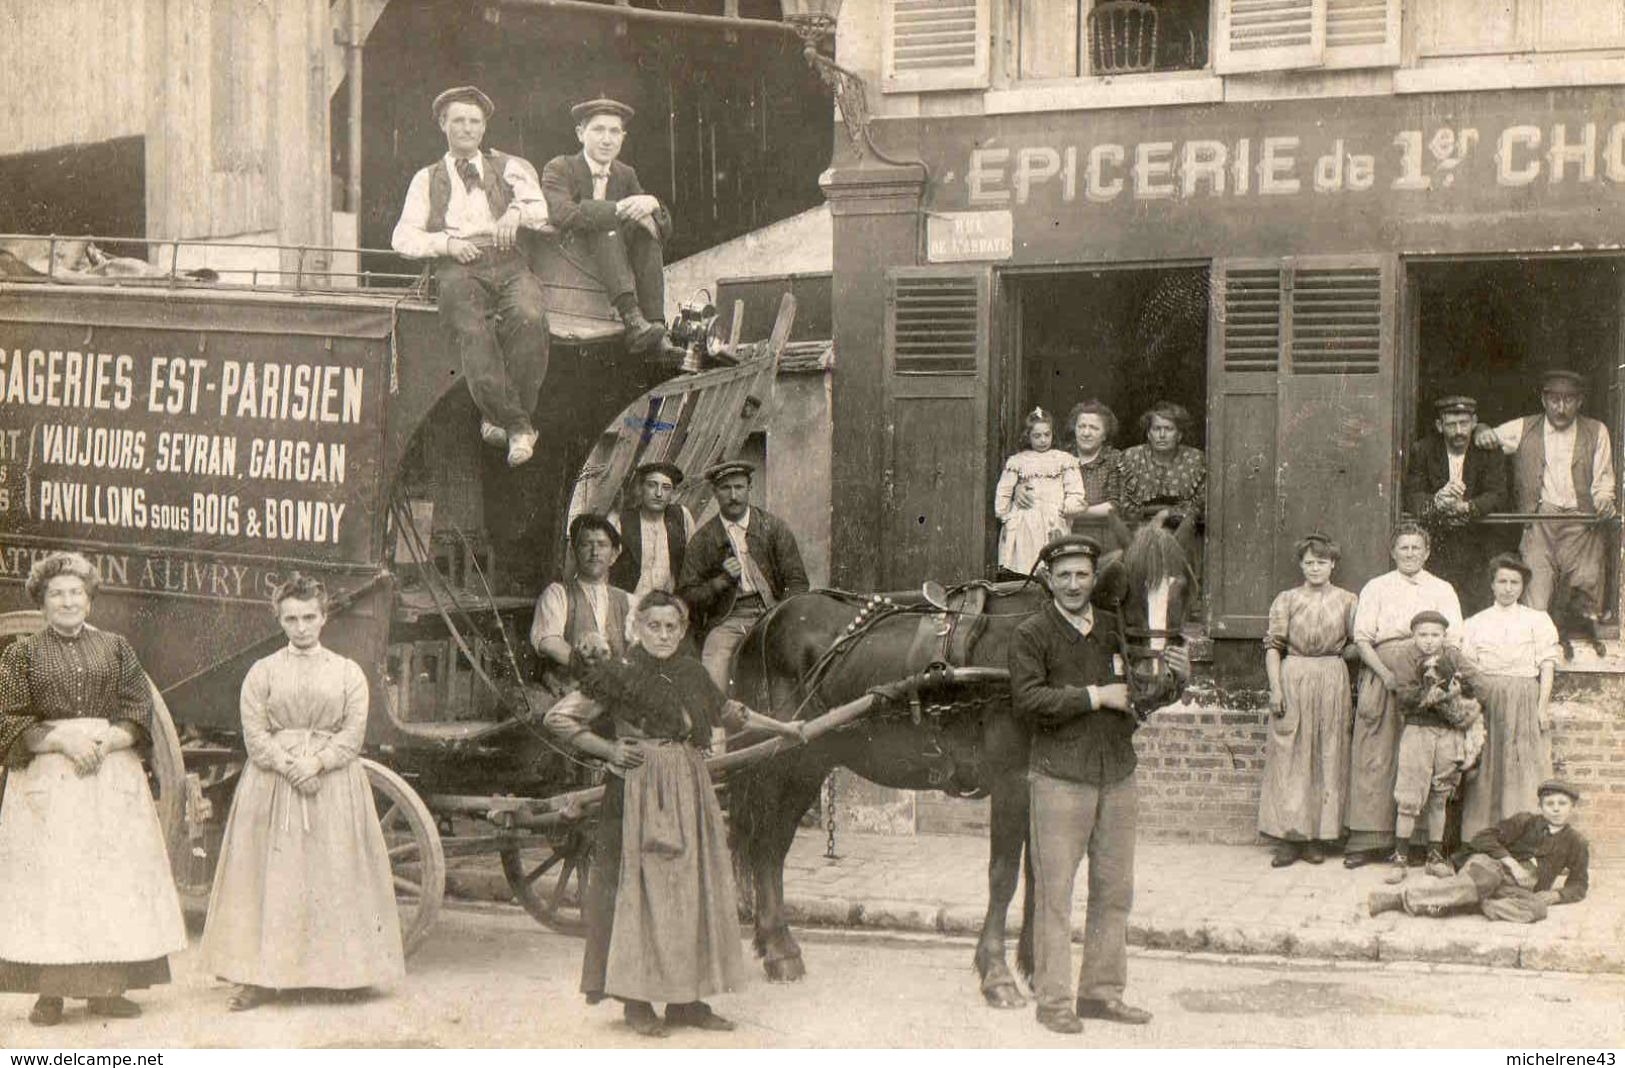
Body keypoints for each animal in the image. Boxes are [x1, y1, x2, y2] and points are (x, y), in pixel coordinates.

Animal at [724, 513, 1196, 994]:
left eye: (1184, 586)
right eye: (1124, 589)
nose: (1156, 680)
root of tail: (764, 622)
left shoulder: (1038, 783)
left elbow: (1038, 873)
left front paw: (1033, 965)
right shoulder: (1009, 781)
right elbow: (1003, 874)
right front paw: (996, 972)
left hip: (808, 762)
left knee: (772, 845)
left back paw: (772, 943)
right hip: (781, 763)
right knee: (766, 845)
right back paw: (779, 950)